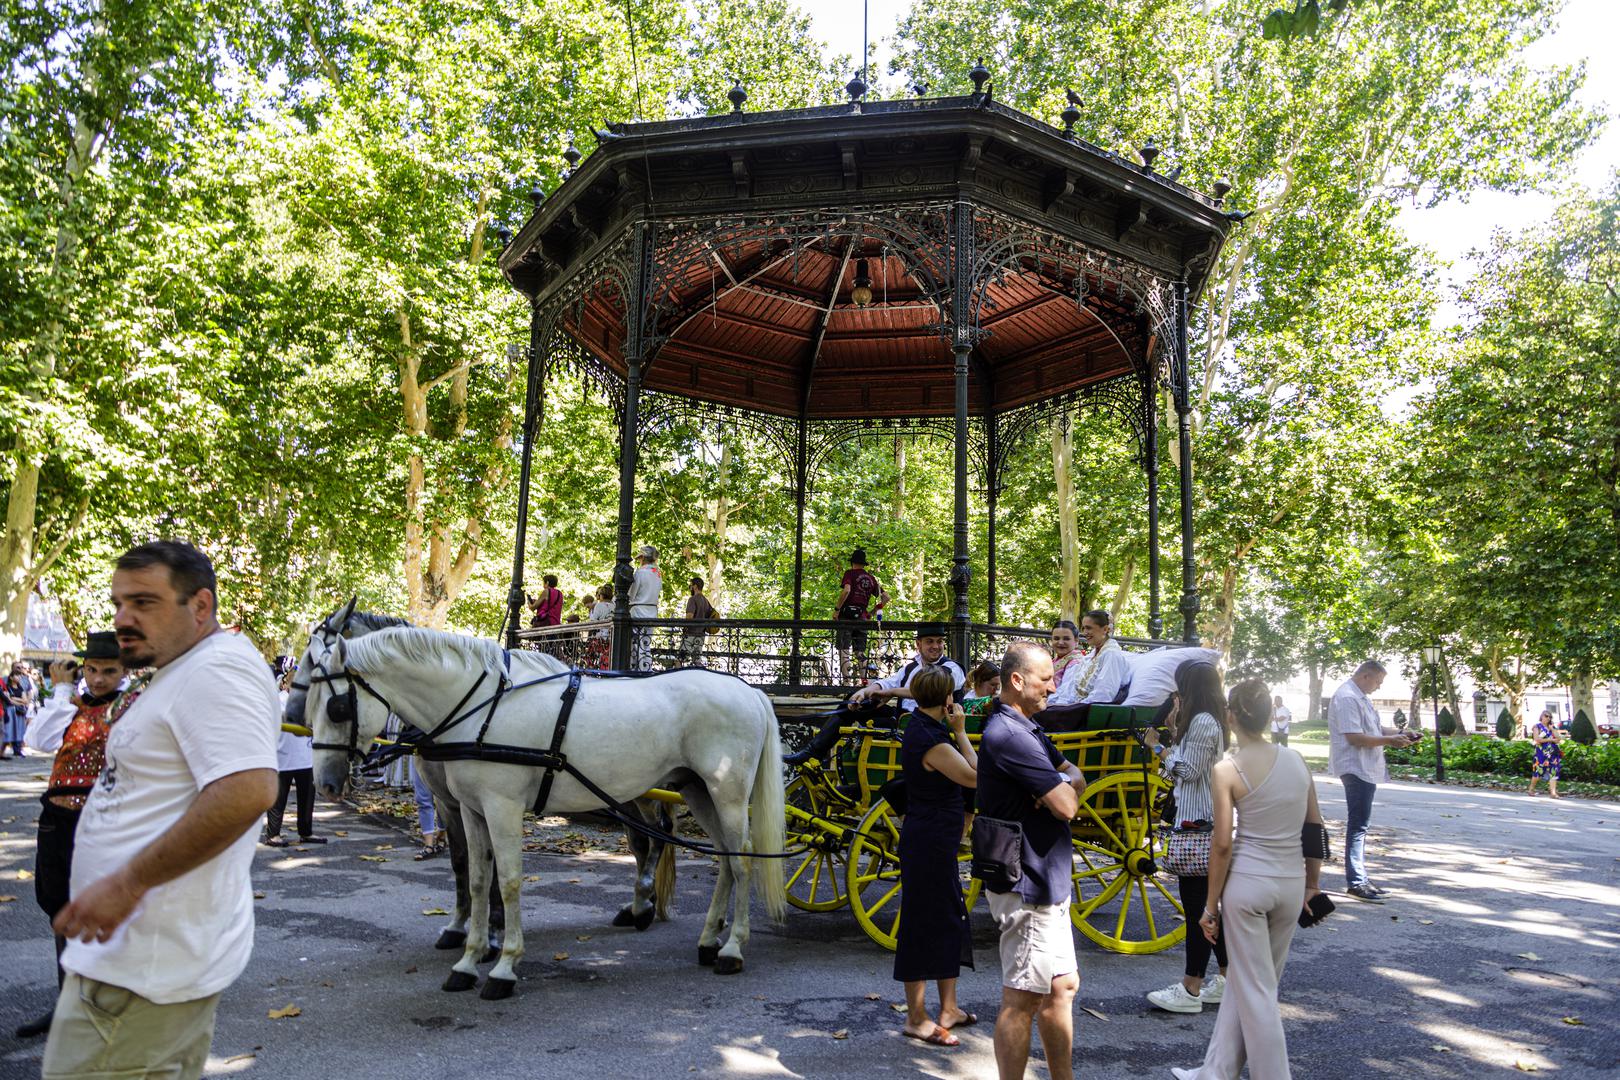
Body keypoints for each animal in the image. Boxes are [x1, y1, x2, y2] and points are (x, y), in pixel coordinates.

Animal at [306, 615, 787, 997]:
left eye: (337, 705)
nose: (326, 783)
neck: (482, 708)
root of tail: (748, 690)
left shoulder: (501, 808)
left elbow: (509, 882)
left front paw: (503, 965)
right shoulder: (470, 810)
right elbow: (477, 881)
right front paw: (468, 960)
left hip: (726, 792)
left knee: (742, 860)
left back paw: (731, 947)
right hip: (697, 790)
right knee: (724, 858)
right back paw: (707, 940)